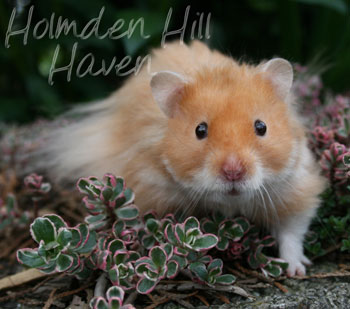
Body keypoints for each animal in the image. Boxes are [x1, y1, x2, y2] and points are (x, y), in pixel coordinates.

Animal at [41, 40, 326, 274]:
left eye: (261, 127)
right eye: (200, 130)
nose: (233, 171)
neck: (231, 203)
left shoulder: (295, 188)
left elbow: (292, 231)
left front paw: (296, 271)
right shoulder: (146, 187)